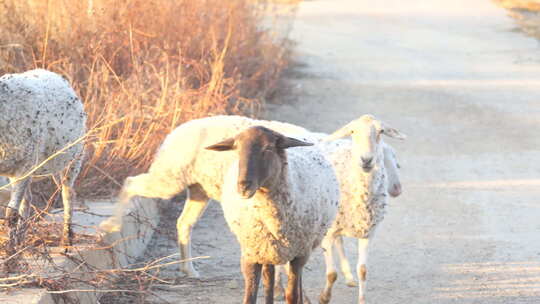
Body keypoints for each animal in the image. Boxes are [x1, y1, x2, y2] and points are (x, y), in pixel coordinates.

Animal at [0, 69, 86, 254]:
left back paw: (66, 239)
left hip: (72, 158)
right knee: (28, 199)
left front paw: (9, 250)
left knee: (68, 194)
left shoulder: (24, 164)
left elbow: (11, 215)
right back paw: (21, 239)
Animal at [98, 114, 318, 278]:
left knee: (184, 222)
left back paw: (188, 269)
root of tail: (177, 130)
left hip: (199, 188)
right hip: (170, 176)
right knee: (131, 182)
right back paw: (111, 225)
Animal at [208, 126, 340, 304]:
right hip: (268, 251)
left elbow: (292, 295)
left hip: (301, 248)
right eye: (237, 149)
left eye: (268, 148)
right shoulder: (252, 254)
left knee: (295, 283)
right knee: (269, 279)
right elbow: (250, 297)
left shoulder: (299, 255)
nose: (243, 186)